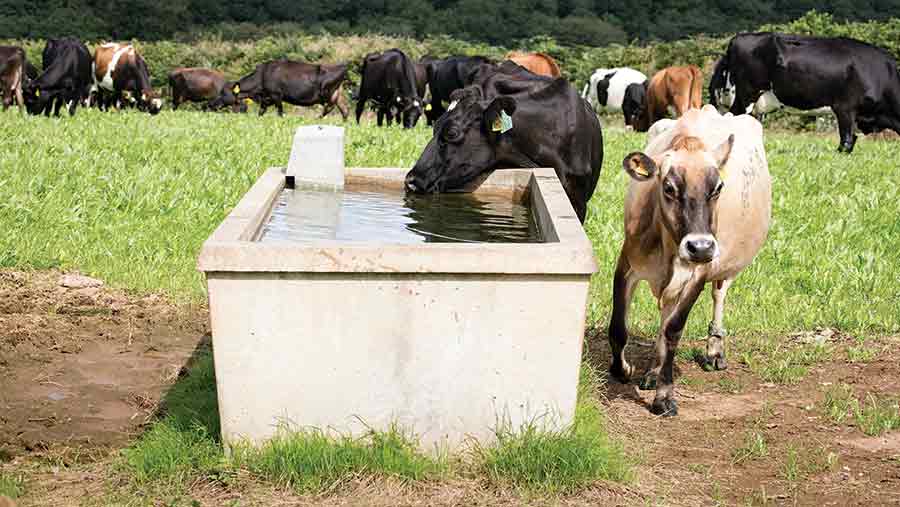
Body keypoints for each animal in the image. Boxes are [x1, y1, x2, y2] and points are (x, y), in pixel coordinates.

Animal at [608, 106, 768, 416]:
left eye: (718, 188)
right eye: (668, 187)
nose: (700, 246)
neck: (668, 246)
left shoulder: (699, 275)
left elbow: (674, 330)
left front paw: (664, 397)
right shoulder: (627, 263)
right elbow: (619, 328)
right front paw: (622, 370)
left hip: (724, 267)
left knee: (718, 295)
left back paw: (714, 350)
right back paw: (653, 370)